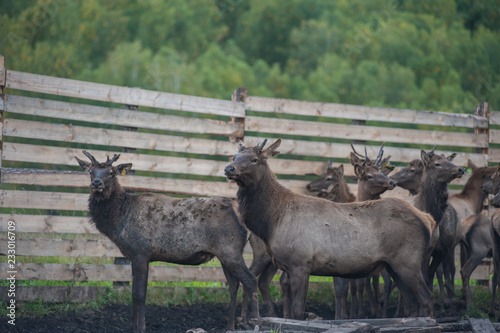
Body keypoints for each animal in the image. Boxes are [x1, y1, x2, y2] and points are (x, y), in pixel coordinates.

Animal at [77, 151, 262, 332]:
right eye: (90, 171)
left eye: (110, 172)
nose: (96, 183)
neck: (118, 220)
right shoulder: (138, 256)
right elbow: (135, 293)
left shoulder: (140, 252)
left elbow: (139, 294)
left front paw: (140, 328)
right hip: (224, 253)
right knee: (234, 285)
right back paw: (230, 326)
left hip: (230, 249)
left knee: (251, 280)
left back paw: (252, 321)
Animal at [225, 138, 436, 320]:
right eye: (234, 156)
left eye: (254, 159)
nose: (229, 168)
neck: (271, 222)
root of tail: (427, 219)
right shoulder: (288, 266)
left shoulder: (301, 263)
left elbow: (297, 311)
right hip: (394, 265)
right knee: (413, 303)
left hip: (408, 261)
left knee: (427, 299)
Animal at [414, 147, 464, 314]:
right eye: (437, 163)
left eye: (449, 160)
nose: (460, 169)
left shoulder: (444, 247)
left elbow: (447, 279)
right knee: (433, 273)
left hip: (448, 248)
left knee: (448, 273)